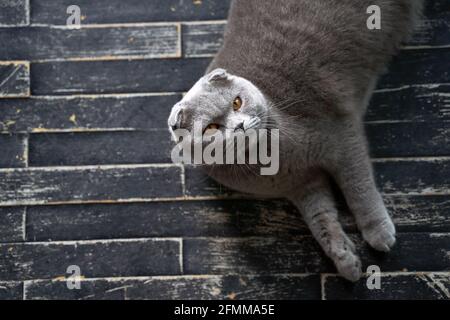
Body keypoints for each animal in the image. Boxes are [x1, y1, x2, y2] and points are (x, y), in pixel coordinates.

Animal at [170, 0, 426, 280]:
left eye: (237, 102)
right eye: (211, 128)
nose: (239, 125)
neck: (280, 159)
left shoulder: (341, 136)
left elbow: (358, 187)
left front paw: (378, 232)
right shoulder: (302, 186)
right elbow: (321, 219)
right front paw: (345, 259)